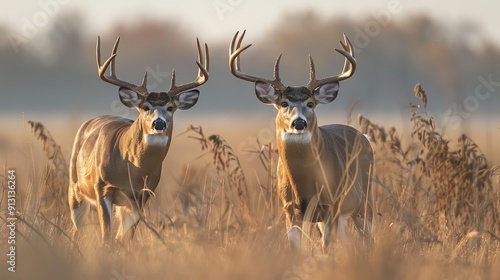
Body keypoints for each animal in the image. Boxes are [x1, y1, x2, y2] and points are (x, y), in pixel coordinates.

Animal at [68, 36, 209, 242]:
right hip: (75, 189)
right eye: (145, 107)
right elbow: (106, 237)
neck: (130, 170)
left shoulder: (141, 196)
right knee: (75, 229)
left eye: (170, 107)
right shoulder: (101, 188)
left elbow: (124, 239)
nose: (159, 123)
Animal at [229, 30, 374, 252]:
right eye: (283, 103)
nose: (299, 122)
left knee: (368, 238)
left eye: (311, 103)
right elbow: (296, 249)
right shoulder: (290, 211)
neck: (303, 186)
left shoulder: (331, 205)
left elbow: (325, 248)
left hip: (364, 201)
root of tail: (364, 137)